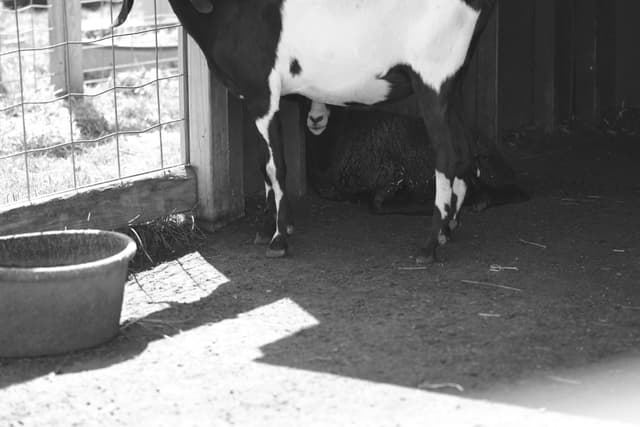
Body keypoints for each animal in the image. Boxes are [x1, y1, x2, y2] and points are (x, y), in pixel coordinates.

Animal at [115, 0, 496, 262]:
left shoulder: (263, 94)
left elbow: (276, 167)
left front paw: (279, 239)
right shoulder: (262, 99)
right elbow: (265, 167)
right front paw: (268, 228)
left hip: (432, 80)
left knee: (447, 157)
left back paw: (429, 247)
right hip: (451, 88)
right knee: (465, 153)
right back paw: (448, 230)